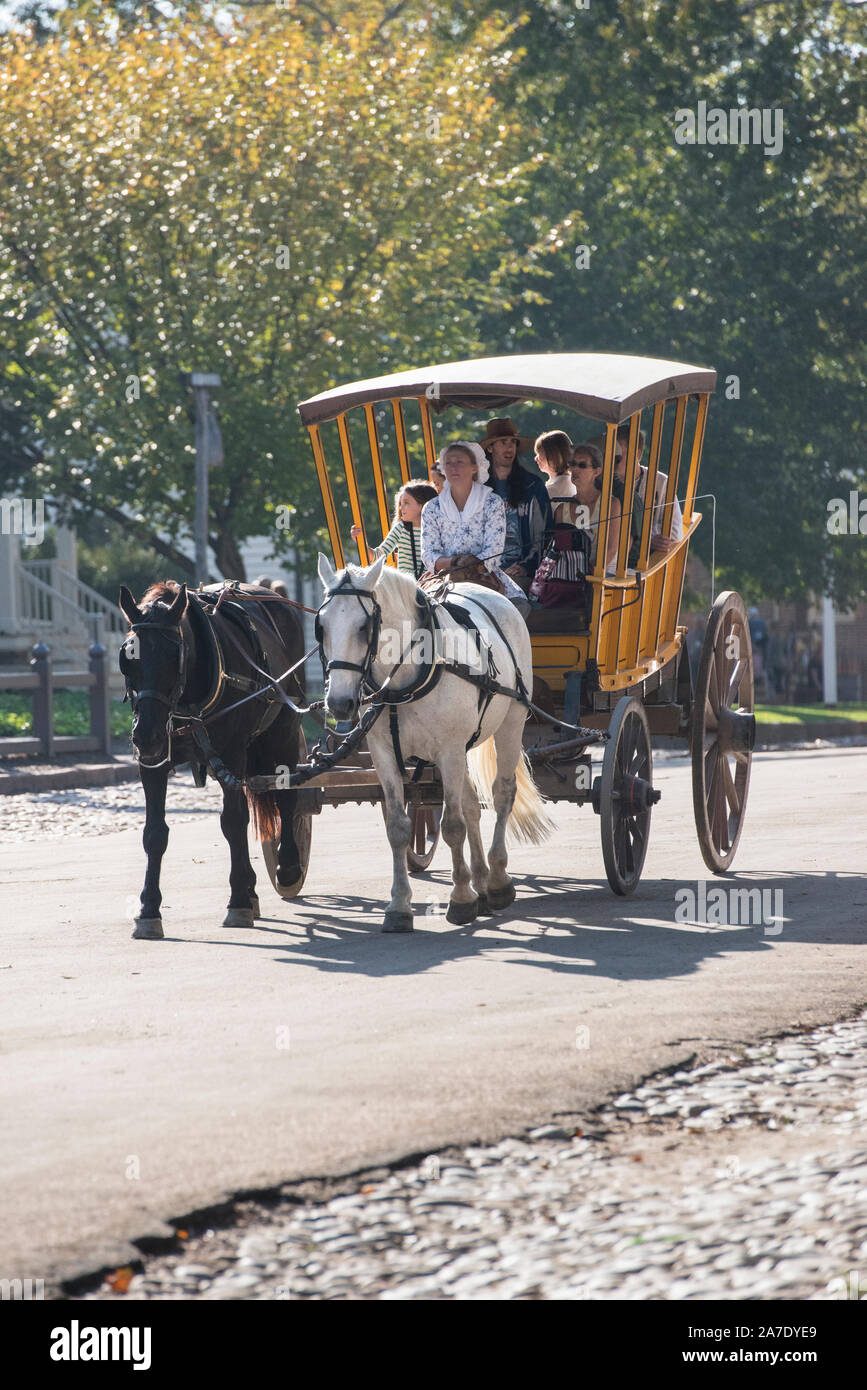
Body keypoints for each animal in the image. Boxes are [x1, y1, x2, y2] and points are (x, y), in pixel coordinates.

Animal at [118, 579, 307, 939]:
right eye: (127, 658)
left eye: (172, 655)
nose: (145, 735)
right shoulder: (153, 763)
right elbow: (154, 833)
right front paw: (148, 910)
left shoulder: (231, 754)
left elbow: (233, 822)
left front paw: (238, 903)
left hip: (284, 729)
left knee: (287, 795)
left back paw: (288, 865)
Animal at [316, 553, 552, 932]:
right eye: (321, 626)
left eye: (365, 627)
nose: (339, 703)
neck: (405, 677)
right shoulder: (384, 754)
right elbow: (398, 828)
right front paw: (399, 906)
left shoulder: (449, 749)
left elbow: (452, 825)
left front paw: (461, 900)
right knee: (471, 805)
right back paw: (481, 880)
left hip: (510, 721)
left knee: (501, 794)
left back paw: (497, 881)